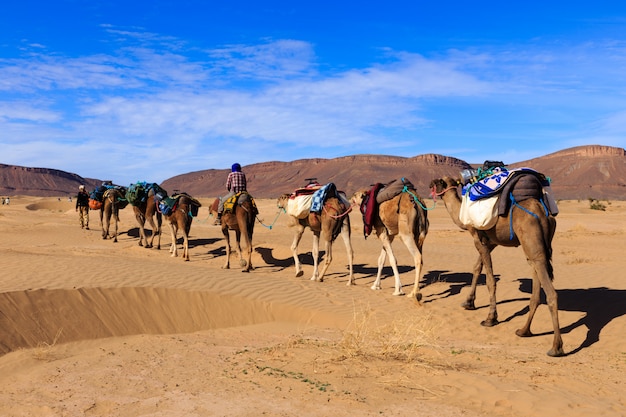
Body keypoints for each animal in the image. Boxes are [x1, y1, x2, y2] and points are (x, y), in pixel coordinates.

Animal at [428, 174, 560, 356]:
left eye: (438, 181)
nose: (429, 186)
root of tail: (543, 213)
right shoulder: (491, 241)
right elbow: (477, 267)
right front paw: (468, 302)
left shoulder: (478, 239)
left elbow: (490, 280)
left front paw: (490, 318)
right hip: (535, 247)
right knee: (536, 279)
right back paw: (524, 331)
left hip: (532, 239)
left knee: (551, 292)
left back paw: (556, 347)